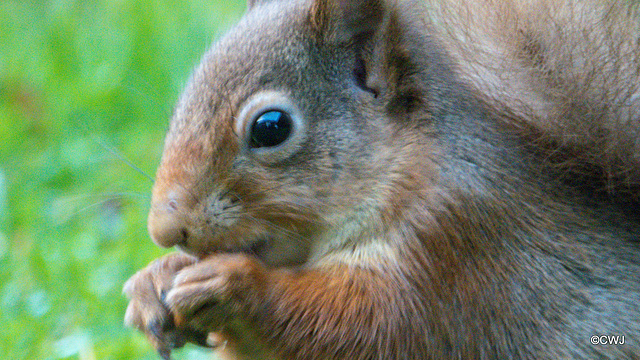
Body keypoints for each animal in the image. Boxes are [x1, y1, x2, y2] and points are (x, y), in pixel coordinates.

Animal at [124, 0, 640, 358]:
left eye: (271, 127)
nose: (165, 231)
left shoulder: (454, 241)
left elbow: (367, 326)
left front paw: (233, 283)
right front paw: (154, 282)